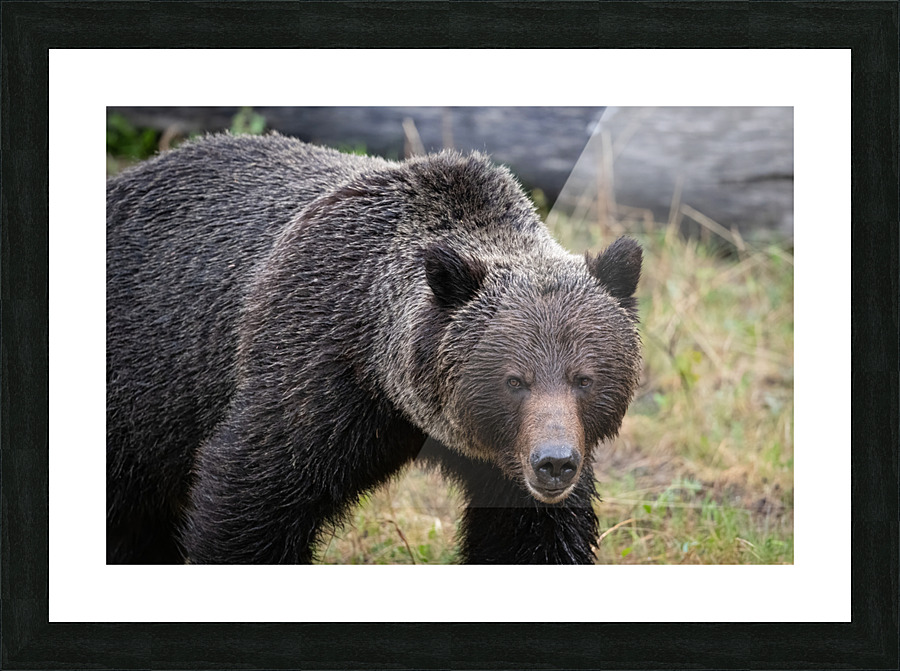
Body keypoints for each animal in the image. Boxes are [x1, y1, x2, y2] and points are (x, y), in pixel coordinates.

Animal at [106, 132, 643, 564]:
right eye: (514, 380)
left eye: (584, 377)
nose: (553, 463)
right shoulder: (313, 373)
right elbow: (251, 497)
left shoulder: (510, 463)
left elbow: (533, 536)